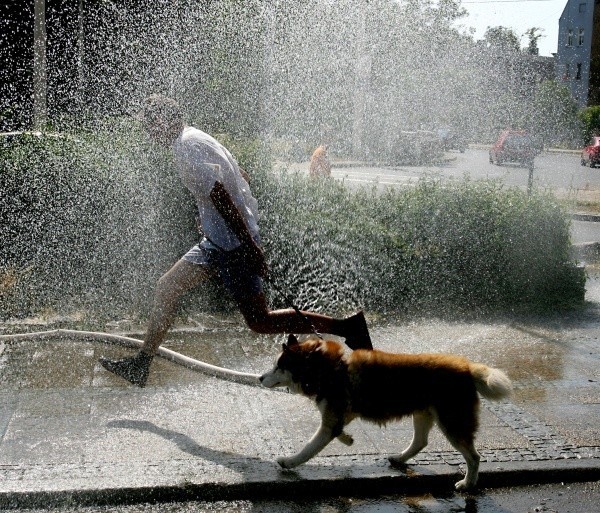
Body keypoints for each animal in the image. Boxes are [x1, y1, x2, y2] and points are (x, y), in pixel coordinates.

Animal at [258, 334, 510, 490]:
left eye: (279, 366)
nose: (260, 378)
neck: (328, 368)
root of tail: (467, 367)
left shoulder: (330, 420)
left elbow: (308, 448)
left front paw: (289, 462)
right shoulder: (337, 416)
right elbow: (337, 431)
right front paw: (348, 439)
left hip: (452, 423)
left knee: (473, 457)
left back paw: (468, 484)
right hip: (423, 414)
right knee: (421, 441)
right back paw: (399, 458)